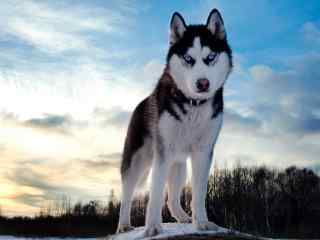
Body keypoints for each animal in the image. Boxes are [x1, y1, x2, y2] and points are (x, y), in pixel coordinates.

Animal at [116, 8, 231, 236]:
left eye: (210, 57)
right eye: (188, 58)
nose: (203, 83)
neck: (193, 105)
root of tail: (141, 104)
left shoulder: (203, 152)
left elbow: (199, 193)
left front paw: (201, 222)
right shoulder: (162, 153)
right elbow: (155, 194)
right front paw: (152, 226)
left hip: (178, 165)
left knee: (172, 198)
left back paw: (182, 217)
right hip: (138, 161)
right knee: (127, 194)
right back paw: (123, 224)